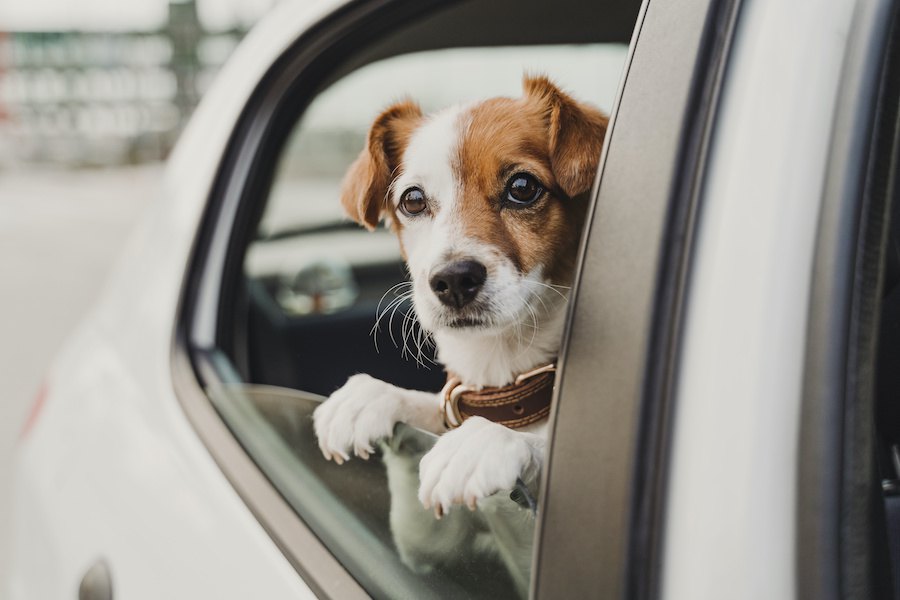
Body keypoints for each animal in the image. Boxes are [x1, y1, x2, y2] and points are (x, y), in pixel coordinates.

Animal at [312, 72, 608, 580]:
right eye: (412, 200)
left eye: (523, 186)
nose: (452, 279)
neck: (504, 374)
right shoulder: (429, 553)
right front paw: (369, 396)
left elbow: (537, 450)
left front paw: (485, 440)